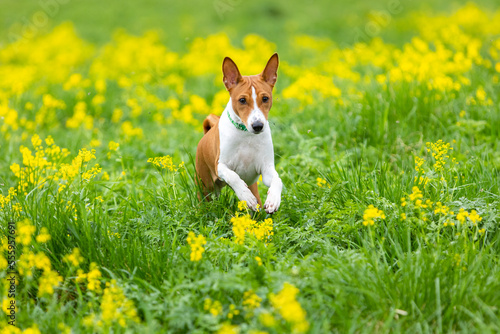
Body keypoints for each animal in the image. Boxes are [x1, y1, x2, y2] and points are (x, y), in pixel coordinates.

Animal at [195, 52, 282, 214]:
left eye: (265, 98)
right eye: (242, 100)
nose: (258, 126)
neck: (246, 135)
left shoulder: (266, 169)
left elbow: (277, 180)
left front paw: (273, 199)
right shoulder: (220, 166)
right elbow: (234, 176)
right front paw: (245, 196)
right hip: (205, 186)